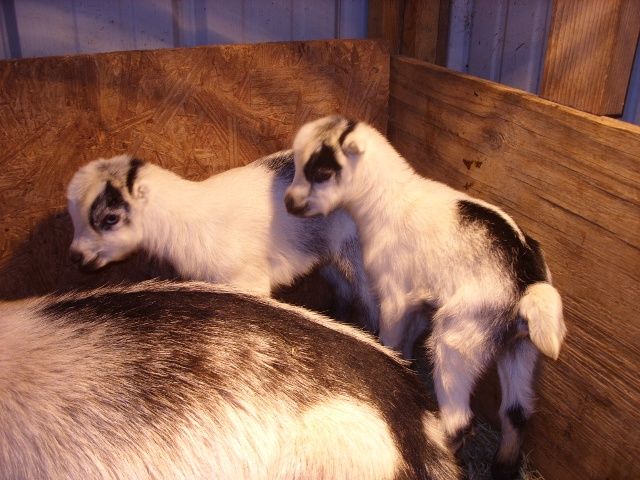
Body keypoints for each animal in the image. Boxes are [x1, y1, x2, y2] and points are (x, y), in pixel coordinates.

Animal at [284, 115, 567, 479]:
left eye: (321, 171)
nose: (289, 203)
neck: (386, 199)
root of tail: (528, 280)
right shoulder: (417, 301)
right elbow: (406, 344)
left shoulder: (393, 295)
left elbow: (390, 339)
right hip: (521, 347)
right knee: (516, 413)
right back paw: (501, 468)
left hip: (460, 337)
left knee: (461, 419)